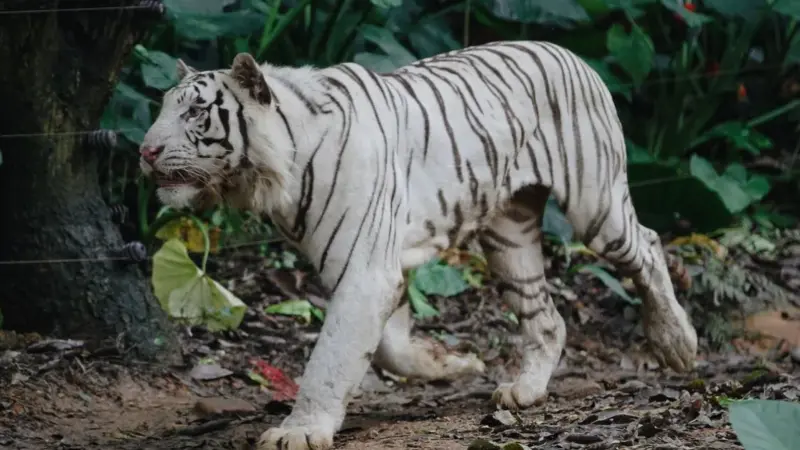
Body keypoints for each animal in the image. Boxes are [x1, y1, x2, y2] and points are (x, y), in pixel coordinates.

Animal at [139, 40, 698, 450]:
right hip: (509, 236)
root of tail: (572, 54)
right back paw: (524, 390)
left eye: (196, 113)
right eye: (165, 108)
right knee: (547, 318)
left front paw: (300, 430)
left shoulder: (366, 268)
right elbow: (388, 346)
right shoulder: (378, 264)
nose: (145, 150)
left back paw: (678, 342)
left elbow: (330, 356)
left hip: (595, 204)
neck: (274, 175)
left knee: (648, 245)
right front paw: (452, 363)